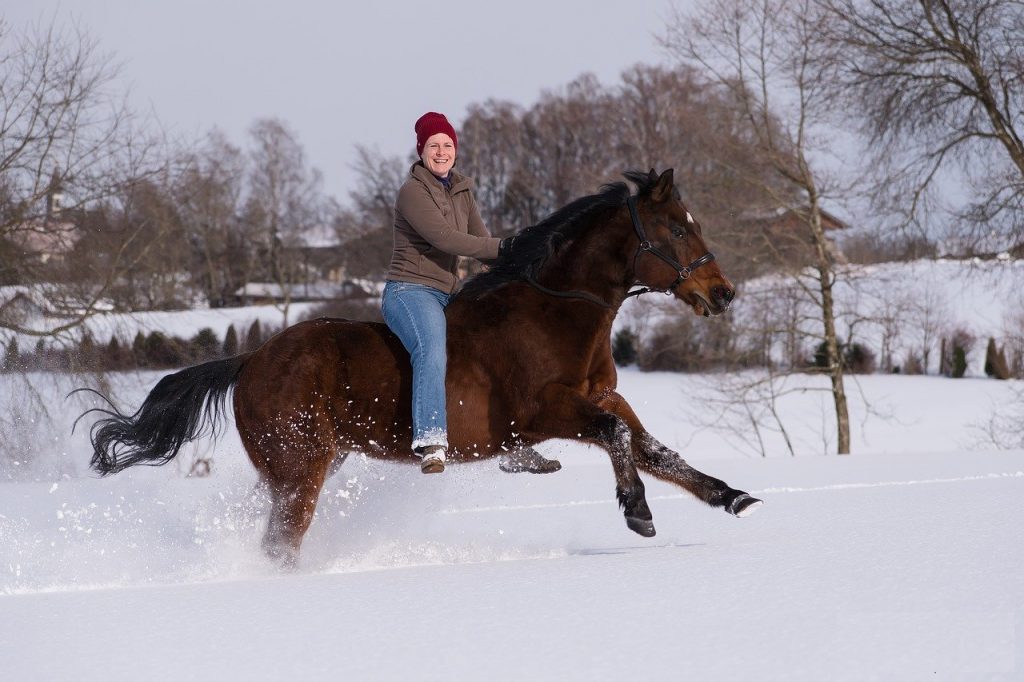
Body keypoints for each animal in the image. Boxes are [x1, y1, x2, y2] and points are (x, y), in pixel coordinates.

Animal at [84, 168, 762, 566]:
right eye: (676, 228)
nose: (724, 293)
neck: (556, 311)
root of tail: (251, 359)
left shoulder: (601, 397)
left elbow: (653, 447)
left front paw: (731, 497)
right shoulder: (543, 412)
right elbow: (619, 438)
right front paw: (637, 510)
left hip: (300, 468)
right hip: (300, 470)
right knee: (281, 543)